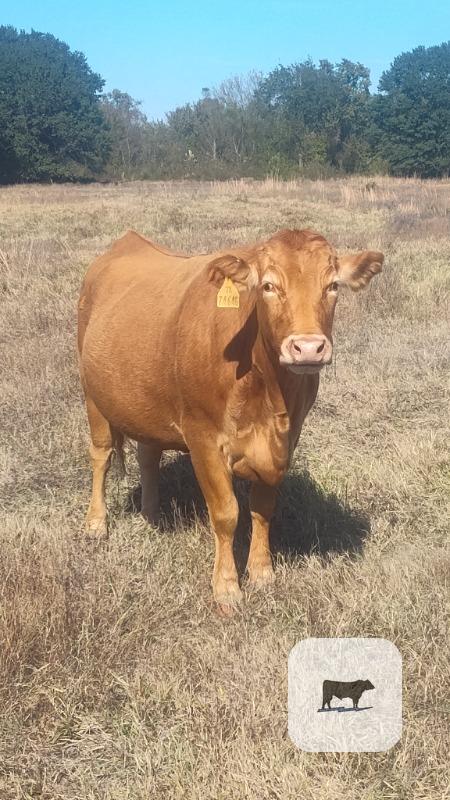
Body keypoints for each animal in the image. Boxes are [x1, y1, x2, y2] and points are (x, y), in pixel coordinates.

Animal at [77, 228, 383, 613]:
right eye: (268, 286)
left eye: (332, 286)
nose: (308, 348)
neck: (268, 392)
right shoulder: (203, 438)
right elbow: (226, 513)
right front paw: (226, 588)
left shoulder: (287, 439)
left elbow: (263, 507)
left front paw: (262, 572)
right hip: (92, 395)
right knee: (101, 456)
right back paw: (96, 524)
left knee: (148, 456)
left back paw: (152, 516)